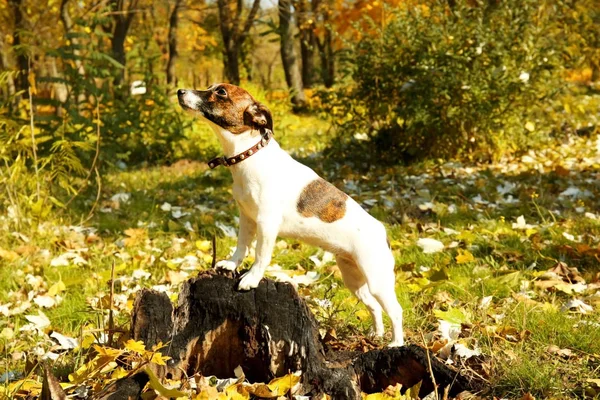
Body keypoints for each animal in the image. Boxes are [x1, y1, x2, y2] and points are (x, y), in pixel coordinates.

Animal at [177, 84, 404, 346]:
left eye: (221, 92)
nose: (180, 91)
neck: (249, 154)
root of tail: (382, 231)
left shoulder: (266, 224)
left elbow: (260, 255)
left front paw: (251, 278)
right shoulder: (246, 218)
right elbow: (242, 246)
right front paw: (231, 264)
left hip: (377, 279)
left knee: (395, 310)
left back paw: (396, 343)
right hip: (353, 278)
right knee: (374, 306)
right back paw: (376, 335)